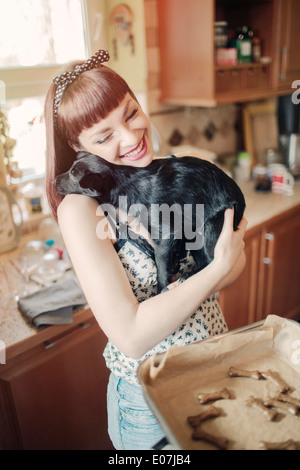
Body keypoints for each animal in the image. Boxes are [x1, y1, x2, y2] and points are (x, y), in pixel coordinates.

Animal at [55, 152, 245, 290]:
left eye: (73, 176)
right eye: (70, 169)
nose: (54, 180)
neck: (126, 181)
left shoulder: (164, 235)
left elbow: (160, 268)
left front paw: (162, 288)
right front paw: (174, 263)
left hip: (210, 227)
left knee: (210, 261)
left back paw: (188, 275)